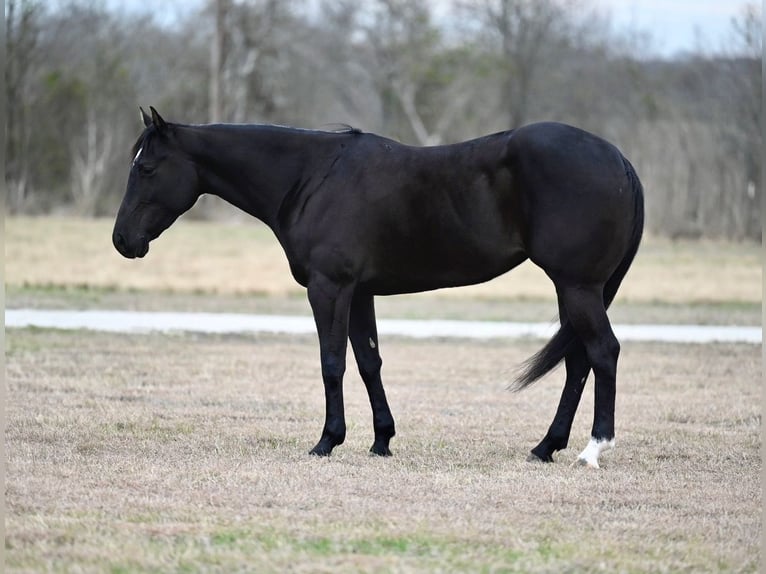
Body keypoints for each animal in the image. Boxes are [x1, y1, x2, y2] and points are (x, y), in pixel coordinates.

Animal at [112, 107, 640, 468]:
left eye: (146, 168)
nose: (122, 241)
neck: (311, 177)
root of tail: (618, 159)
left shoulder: (329, 288)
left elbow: (332, 362)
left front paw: (327, 441)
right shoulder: (360, 293)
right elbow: (369, 363)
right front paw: (381, 440)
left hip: (577, 286)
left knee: (603, 353)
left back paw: (593, 449)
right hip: (574, 289)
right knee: (577, 362)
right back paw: (545, 446)